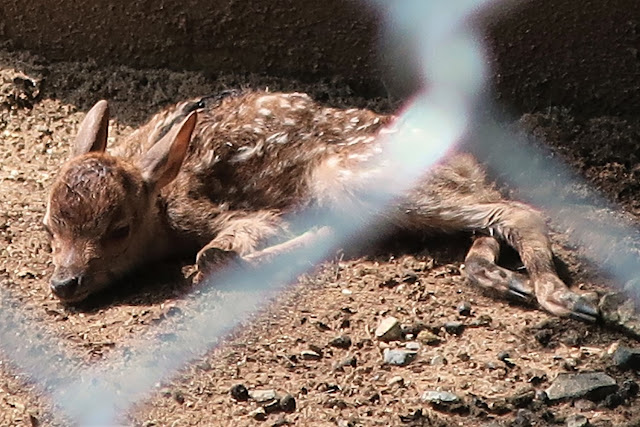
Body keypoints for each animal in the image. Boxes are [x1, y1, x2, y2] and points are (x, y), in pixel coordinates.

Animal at [45, 90, 600, 320]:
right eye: (50, 227)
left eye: (119, 228)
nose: (64, 283)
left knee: (518, 209)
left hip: (348, 176)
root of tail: (467, 159)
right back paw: (506, 280)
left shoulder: (236, 214)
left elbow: (212, 255)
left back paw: (565, 298)